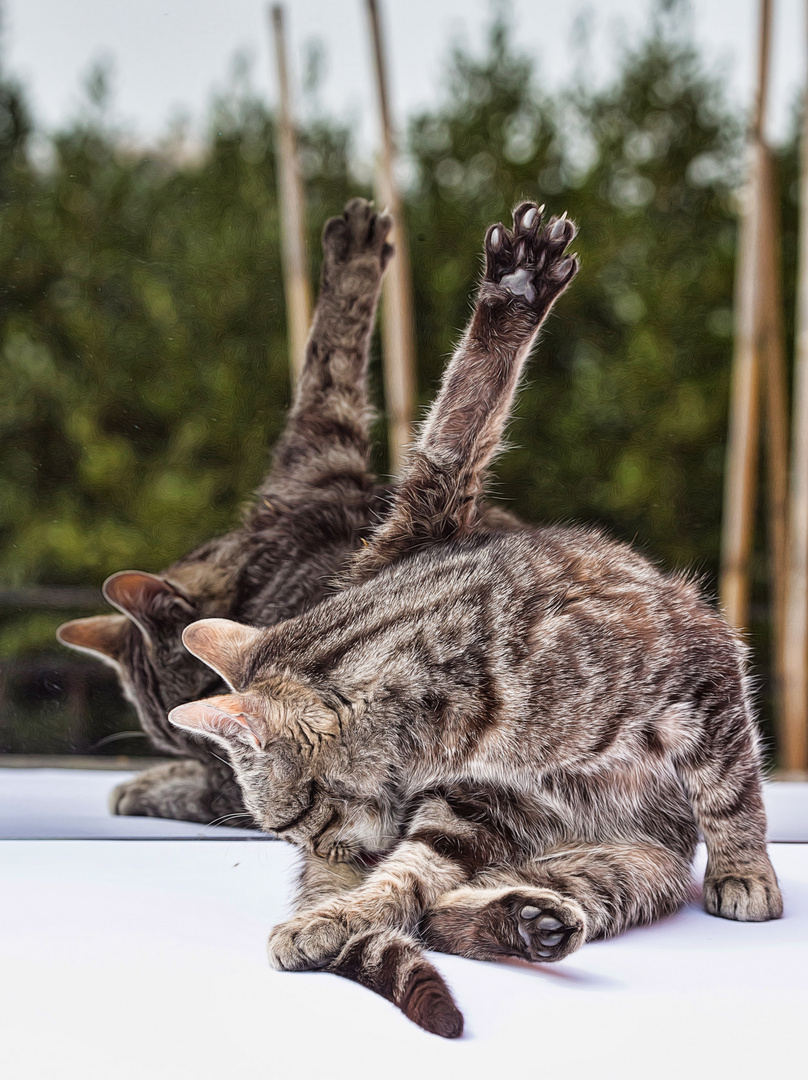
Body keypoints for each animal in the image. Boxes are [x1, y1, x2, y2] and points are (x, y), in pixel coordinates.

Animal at [167, 203, 777, 1036]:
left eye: (302, 817)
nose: (332, 853)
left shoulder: (703, 667)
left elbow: (731, 785)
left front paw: (747, 870)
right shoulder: (480, 802)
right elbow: (413, 876)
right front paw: (335, 915)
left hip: (634, 863)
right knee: (440, 912)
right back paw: (515, 920)